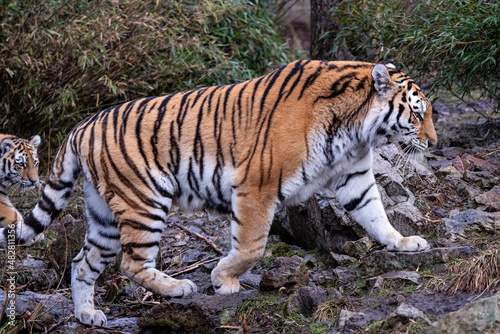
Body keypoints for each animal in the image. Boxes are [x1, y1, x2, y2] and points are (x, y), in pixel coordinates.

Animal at [0, 60, 436, 326]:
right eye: (417, 113)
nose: (432, 142)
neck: (355, 128)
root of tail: (81, 126)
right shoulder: (257, 185)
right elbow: (252, 245)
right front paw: (223, 280)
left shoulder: (354, 177)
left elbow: (376, 216)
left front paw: (405, 242)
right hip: (145, 200)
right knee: (131, 263)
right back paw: (178, 287)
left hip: (104, 216)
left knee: (81, 263)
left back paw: (87, 315)